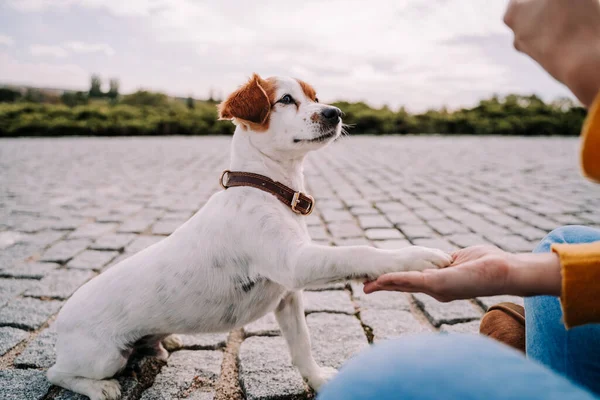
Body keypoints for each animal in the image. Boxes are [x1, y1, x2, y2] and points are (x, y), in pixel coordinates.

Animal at [45, 73, 450, 398]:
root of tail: (60, 322)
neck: (267, 187)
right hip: (103, 357)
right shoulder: (295, 265)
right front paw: (415, 255)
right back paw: (100, 389)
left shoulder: (289, 297)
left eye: (315, 96)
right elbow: (358, 252)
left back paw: (164, 340)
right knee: (57, 373)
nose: (335, 112)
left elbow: (302, 346)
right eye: (285, 99)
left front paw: (319, 381)